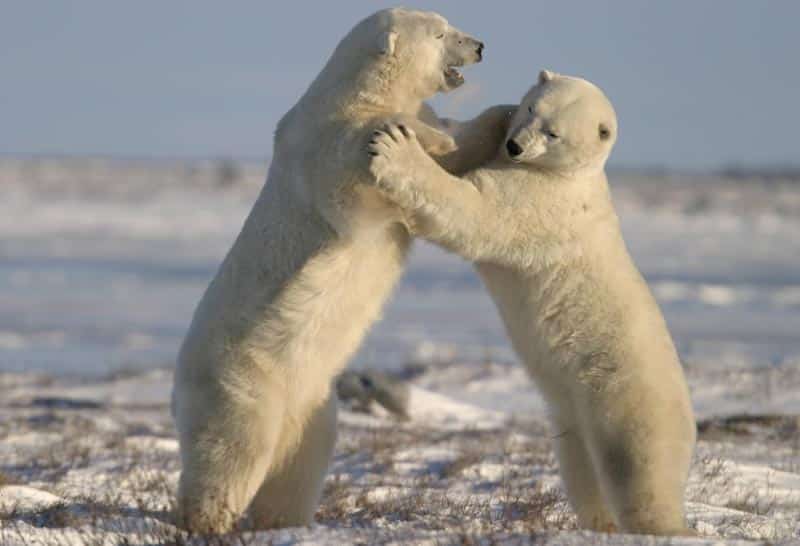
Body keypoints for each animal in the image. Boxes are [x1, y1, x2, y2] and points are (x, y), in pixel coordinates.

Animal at [171, 8, 514, 533]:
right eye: (441, 32)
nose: (479, 45)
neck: (356, 91)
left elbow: (455, 149)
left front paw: (500, 116)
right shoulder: (324, 145)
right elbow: (356, 182)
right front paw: (411, 136)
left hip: (311, 405)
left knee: (299, 467)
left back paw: (285, 522)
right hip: (241, 381)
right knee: (230, 453)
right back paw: (206, 521)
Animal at [366, 70, 697, 535]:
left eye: (554, 132)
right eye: (531, 109)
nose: (516, 146)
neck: (568, 175)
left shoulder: (540, 200)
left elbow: (474, 210)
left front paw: (393, 149)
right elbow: (465, 154)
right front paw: (464, 123)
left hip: (630, 402)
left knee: (641, 477)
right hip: (575, 422)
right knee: (583, 476)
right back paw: (597, 524)